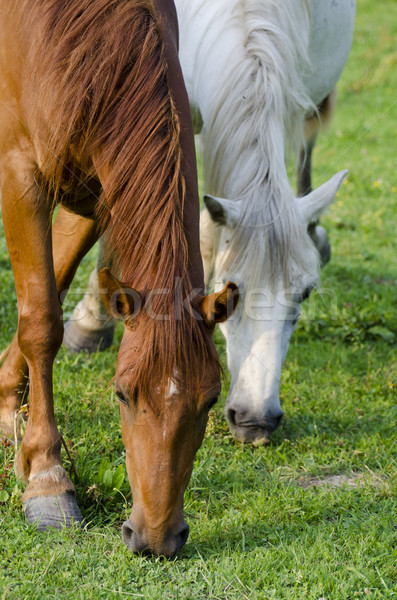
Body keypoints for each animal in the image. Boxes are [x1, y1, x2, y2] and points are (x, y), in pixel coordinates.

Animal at [0, 0, 238, 556]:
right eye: (122, 394)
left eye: (210, 399)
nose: (155, 538)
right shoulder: (20, 176)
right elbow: (42, 322)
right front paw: (47, 479)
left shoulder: (97, 194)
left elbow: (51, 285)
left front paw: (6, 406)